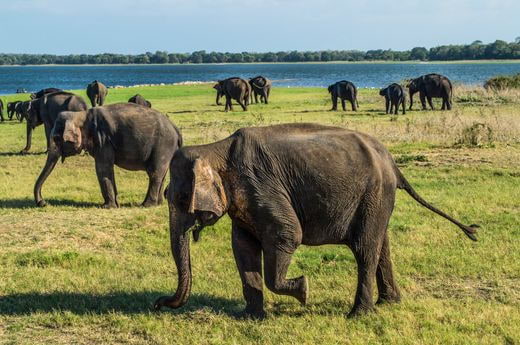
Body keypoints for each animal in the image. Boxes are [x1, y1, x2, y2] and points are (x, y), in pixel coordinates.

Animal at [35, 102, 183, 207]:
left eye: (56, 138)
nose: (43, 203)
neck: (81, 115)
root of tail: (176, 129)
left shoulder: (103, 139)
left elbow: (102, 168)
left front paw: (107, 207)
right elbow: (107, 169)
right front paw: (115, 205)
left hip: (163, 146)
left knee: (154, 173)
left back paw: (146, 205)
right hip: (167, 149)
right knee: (162, 174)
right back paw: (158, 204)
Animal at [152, 122, 478, 318]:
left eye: (181, 198)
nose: (157, 304)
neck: (216, 148)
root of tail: (392, 163)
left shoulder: (262, 187)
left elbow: (287, 234)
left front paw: (304, 290)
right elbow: (242, 247)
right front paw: (251, 317)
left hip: (373, 194)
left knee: (364, 250)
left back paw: (358, 315)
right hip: (378, 201)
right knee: (381, 247)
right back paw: (389, 303)